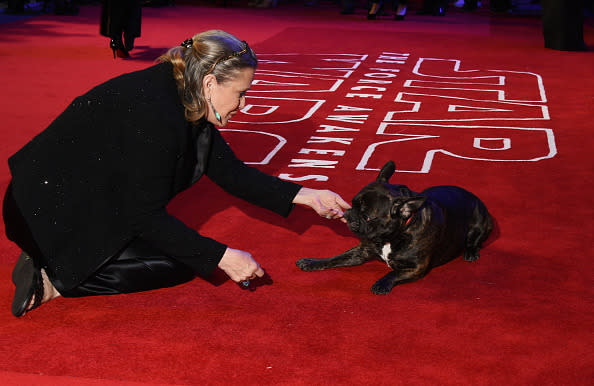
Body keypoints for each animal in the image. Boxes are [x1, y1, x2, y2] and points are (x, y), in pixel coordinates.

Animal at [294, 161, 492, 294]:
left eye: (367, 216)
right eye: (352, 203)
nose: (349, 214)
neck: (391, 236)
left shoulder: (416, 268)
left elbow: (394, 273)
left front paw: (382, 283)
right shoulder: (361, 251)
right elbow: (335, 258)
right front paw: (311, 262)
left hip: (480, 222)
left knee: (475, 239)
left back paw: (471, 251)